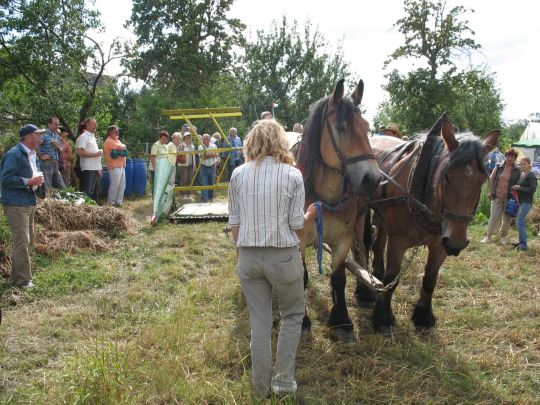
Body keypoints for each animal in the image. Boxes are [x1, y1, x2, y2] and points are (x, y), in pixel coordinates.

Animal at [298, 78, 382, 338]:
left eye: (366, 127)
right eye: (341, 127)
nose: (373, 179)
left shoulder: (343, 237)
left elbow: (338, 277)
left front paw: (341, 319)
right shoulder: (297, 239)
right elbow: (300, 276)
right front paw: (303, 320)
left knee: (361, 251)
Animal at [356, 114, 500, 332]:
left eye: (482, 179)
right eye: (446, 175)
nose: (456, 243)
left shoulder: (440, 245)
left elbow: (430, 279)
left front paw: (423, 316)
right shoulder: (398, 241)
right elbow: (393, 276)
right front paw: (383, 316)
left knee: (378, 245)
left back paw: (376, 278)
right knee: (364, 245)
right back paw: (364, 291)